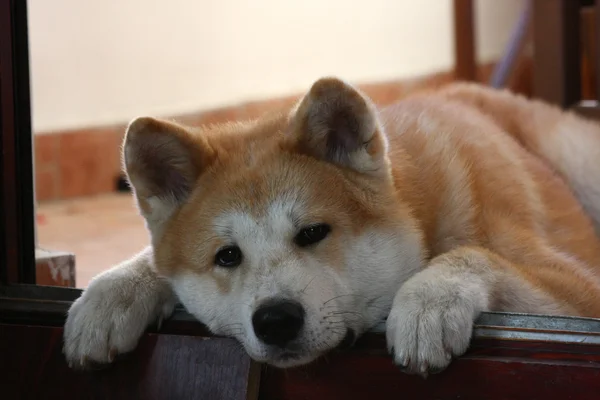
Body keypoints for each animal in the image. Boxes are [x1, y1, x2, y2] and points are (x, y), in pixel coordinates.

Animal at [62, 76, 600, 376]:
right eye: (227, 256)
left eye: (313, 232)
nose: (275, 319)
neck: (419, 209)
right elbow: (151, 262)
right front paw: (113, 294)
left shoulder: (580, 287)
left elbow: (474, 255)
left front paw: (429, 300)